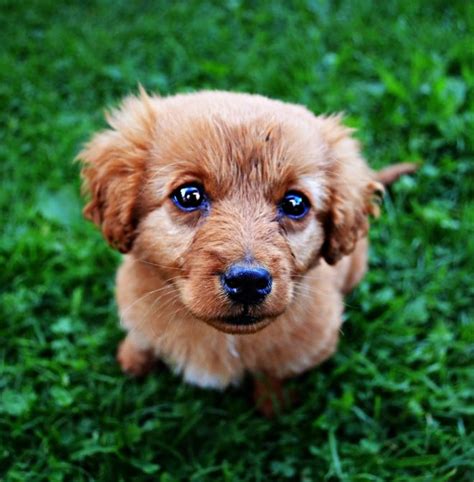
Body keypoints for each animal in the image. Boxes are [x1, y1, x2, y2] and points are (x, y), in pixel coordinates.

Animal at [79, 89, 416, 414]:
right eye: (189, 196)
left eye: (295, 203)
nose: (248, 282)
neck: (221, 336)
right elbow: (141, 338)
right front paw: (132, 361)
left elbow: (273, 373)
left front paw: (273, 405)